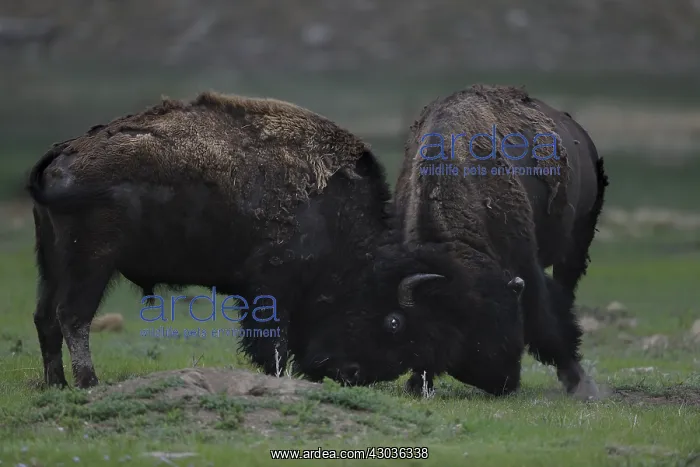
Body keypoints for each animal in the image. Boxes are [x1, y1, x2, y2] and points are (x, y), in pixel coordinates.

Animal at [393, 84, 608, 398]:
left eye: (496, 318)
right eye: (440, 330)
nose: (501, 382)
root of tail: (578, 133)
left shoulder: (526, 264)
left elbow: (547, 323)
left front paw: (580, 382)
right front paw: (418, 383)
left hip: (580, 235)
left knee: (565, 290)